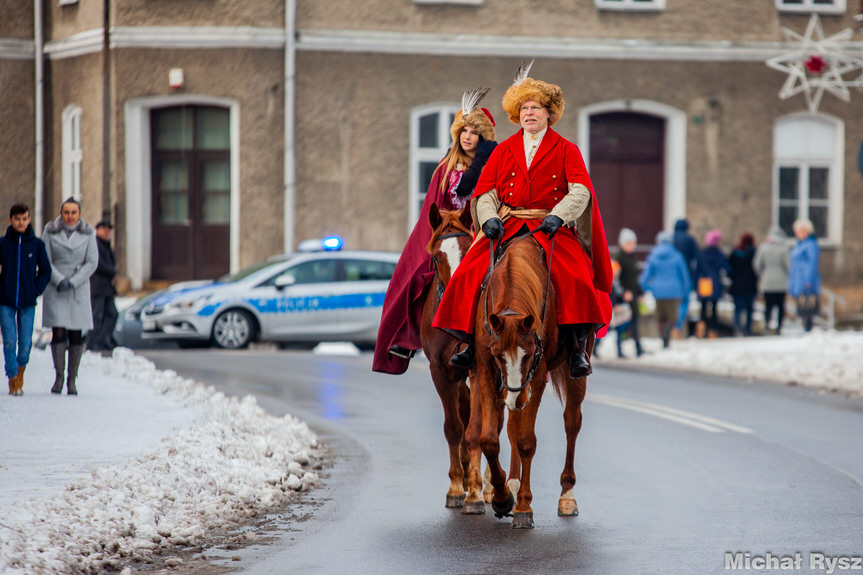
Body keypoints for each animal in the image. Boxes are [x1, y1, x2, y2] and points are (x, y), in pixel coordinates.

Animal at [462, 233, 596, 528]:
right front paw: (502, 498)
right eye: (497, 354)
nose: (516, 395)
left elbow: (526, 441)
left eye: (531, 353)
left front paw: (523, 506)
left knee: (572, 423)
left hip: (574, 373)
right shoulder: (485, 369)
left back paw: (567, 496)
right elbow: (490, 439)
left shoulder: (538, 375)